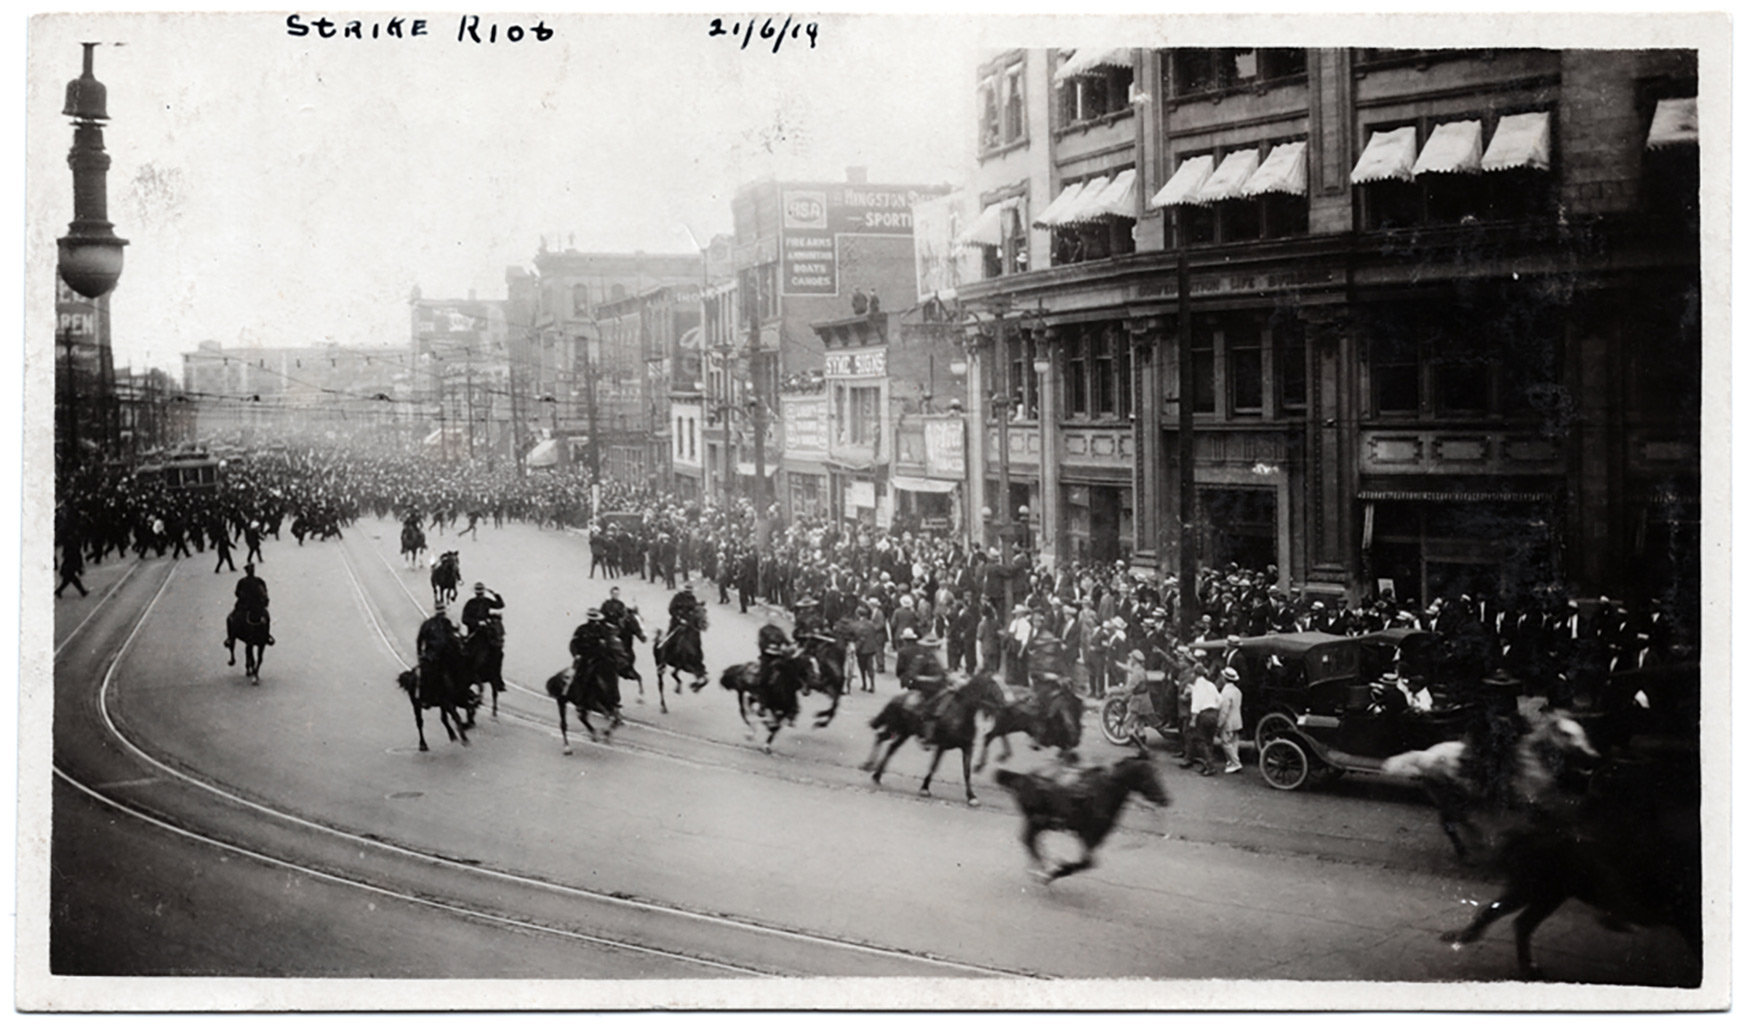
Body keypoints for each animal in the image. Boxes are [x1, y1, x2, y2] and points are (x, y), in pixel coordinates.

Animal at [863, 671, 1006, 803]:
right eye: (995, 688)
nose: (1004, 705)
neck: (961, 714)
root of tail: (897, 698)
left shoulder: (967, 747)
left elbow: (966, 772)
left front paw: (971, 796)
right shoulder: (942, 746)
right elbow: (934, 766)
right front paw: (925, 788)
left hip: (904, 733)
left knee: (890, 747)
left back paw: (876, 774)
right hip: (896, 728)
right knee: (881, 738)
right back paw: (869, 765)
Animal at [999, 744, 1174, 880]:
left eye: (1157, 773)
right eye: (1149, 776)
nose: (1165, 799)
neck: (1104, 793)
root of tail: (1022, 778)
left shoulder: (1096, 837)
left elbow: (1088, 863)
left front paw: (1059, 869)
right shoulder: (1087, 834)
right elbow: (1087, 862)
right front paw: (1059, 870)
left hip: (1039, 821)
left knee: (1030, 840)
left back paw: (1040, 867)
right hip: (1036, 819)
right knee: (1028, 839)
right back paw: (1041, 869)